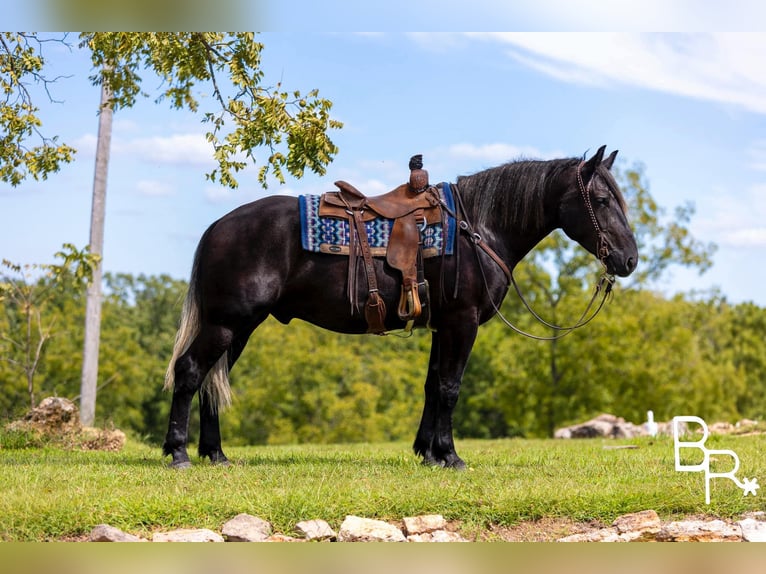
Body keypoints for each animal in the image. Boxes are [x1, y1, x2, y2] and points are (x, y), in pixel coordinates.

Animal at [162, 145, 638, 469]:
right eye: (601, 200)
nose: (629, 259)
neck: (478, 229)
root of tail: (218, 225)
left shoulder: (441, 325)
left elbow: (432, 386)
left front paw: (427, 453)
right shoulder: (462, 322)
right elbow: (450, 387)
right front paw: (450, 456)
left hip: (239, 328)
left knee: (210, 381)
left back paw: (215, 454)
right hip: (227, 323)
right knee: (190, 371)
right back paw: (179, 453)